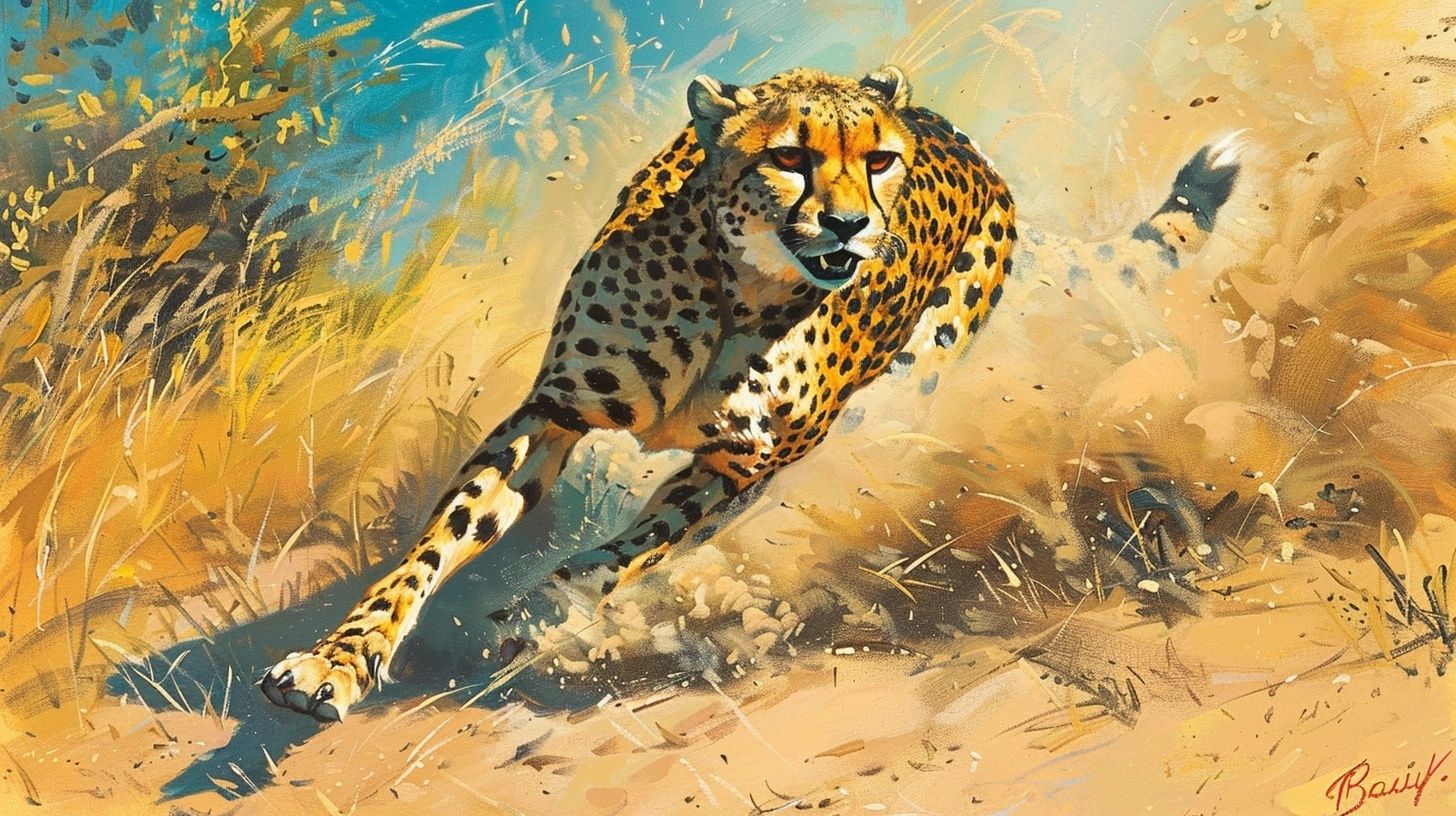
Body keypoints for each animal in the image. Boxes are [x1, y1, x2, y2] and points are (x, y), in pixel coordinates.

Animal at [259, 65, 1242, 722]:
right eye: (792, 157)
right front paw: (336, 661)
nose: (849, 225)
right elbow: (430, 551)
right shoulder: (554, 413)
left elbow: (629, 551)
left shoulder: (745, 465)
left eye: (878, 162)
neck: (741, 285)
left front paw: (544, 612)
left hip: (912, 381)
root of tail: (962, 141)